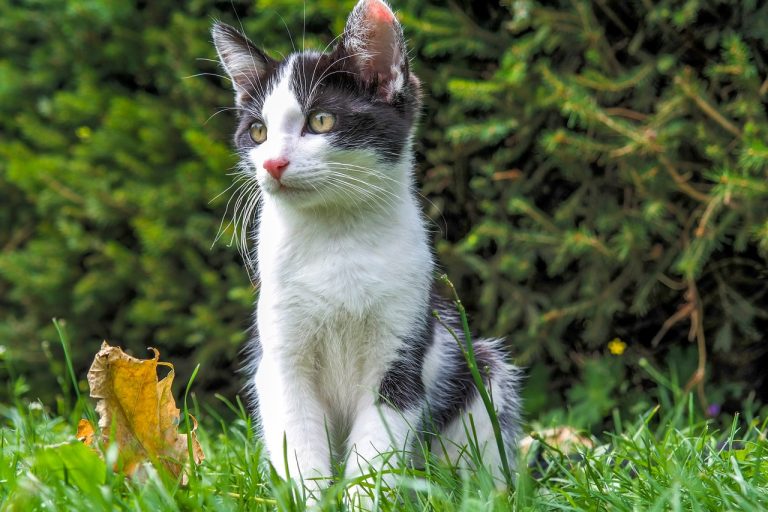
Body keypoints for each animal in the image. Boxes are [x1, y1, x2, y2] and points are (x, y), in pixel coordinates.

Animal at [210, 0, 520, 500]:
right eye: (256, 131)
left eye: (320, 120)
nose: (273, 162)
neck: (336, 238)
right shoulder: (279, 358)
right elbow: (297, 441)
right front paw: (309, 499)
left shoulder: (401, 354)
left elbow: (377, 448)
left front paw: (362, 500)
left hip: (484, 371)